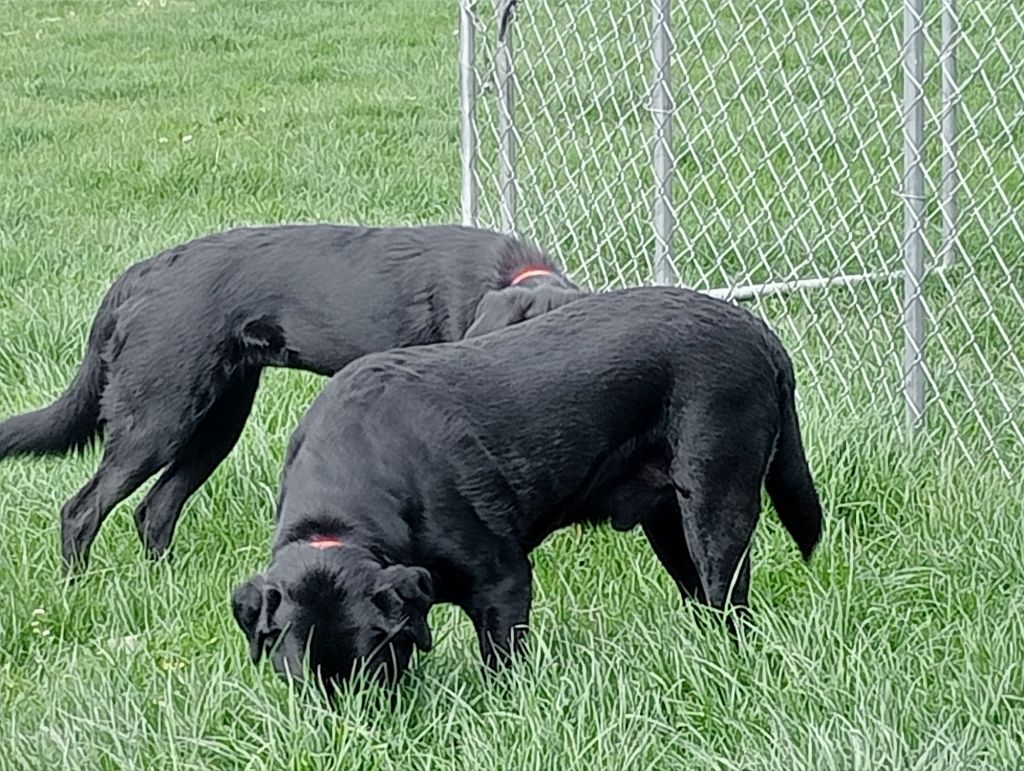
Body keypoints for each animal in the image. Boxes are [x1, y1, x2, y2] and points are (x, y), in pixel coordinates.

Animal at [0, 223, 584, 566]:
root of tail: (139, 275)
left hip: (218, 424)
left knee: (154, 512)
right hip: (157, 420)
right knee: (82, 510)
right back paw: (78, 587)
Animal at [231, 286, 823, 692]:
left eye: (373, 668)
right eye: (300, 683)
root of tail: (757, 330)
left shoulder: (503, 580)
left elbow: (501, 660)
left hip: (715, 502)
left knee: (729, 597)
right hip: (667, 521)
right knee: (700, 596)